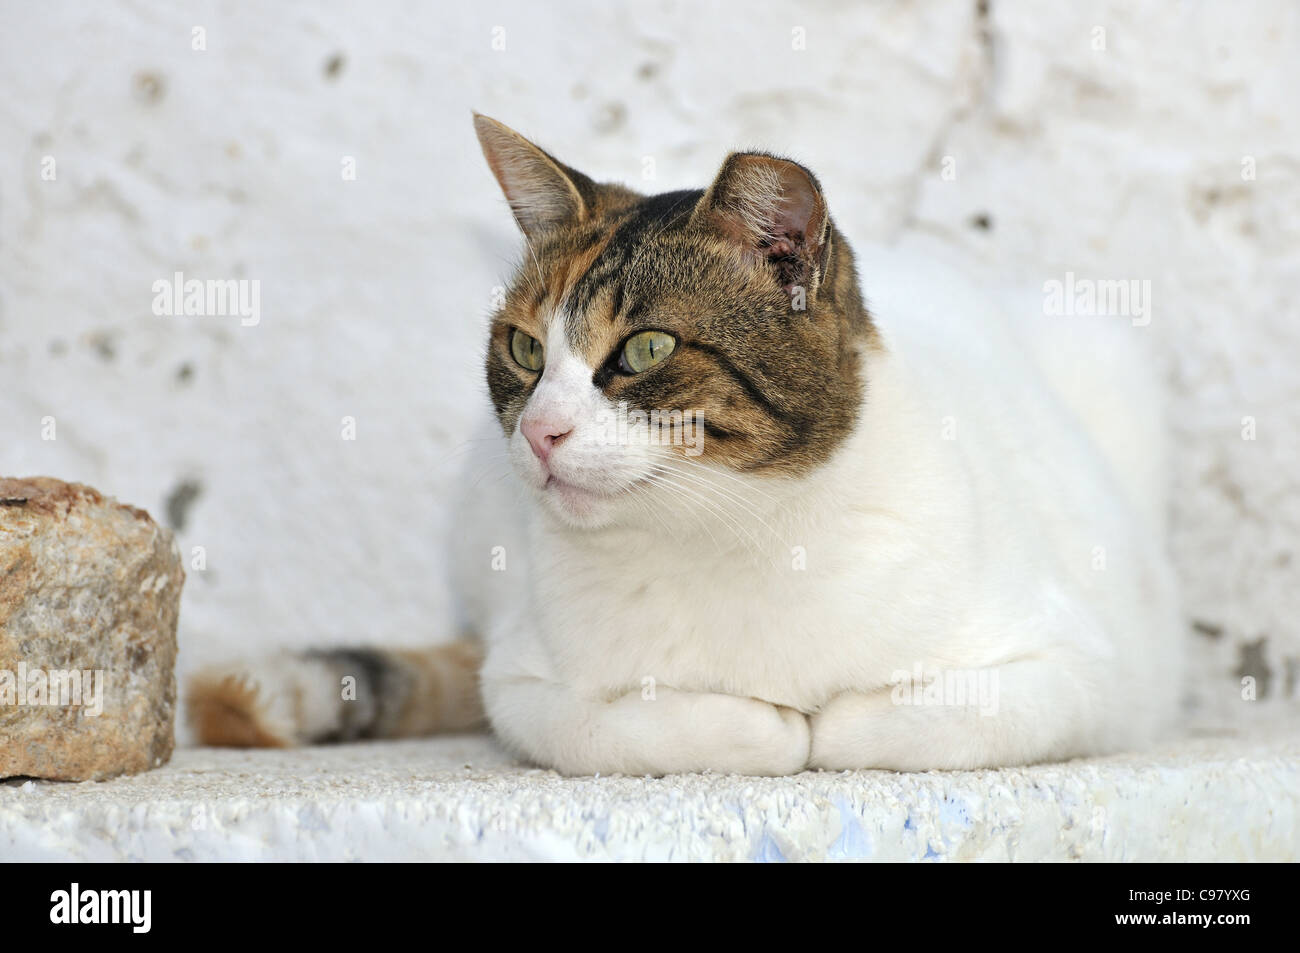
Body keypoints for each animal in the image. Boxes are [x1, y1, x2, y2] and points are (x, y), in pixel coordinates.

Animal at [188, 115, 1185, 774]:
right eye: (524, 350)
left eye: (645, 350)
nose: (541, 430)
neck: (740, 533)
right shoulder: (521, 678)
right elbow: (627, 726)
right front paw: (771, 725)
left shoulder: (1090, 669)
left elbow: (897, 721)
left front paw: (825, 721)